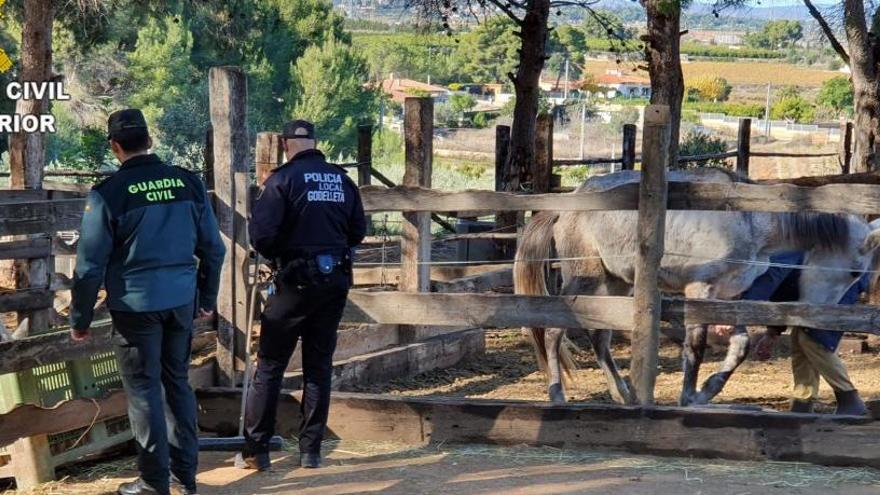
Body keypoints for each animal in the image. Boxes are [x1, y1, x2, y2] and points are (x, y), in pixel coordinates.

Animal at [516, 170, 880, 406]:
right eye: (853, 272)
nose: (817, 322)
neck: (746, 221)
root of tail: (568, 202)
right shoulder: (699, 290)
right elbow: (696, 346)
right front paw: (689, 395)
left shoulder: (730, 296)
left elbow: (741, 345)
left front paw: (709, 389)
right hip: (585, 280)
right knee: (554, 330)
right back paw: (557, 394)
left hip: (615, 283)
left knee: (599, 336)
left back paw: (623, 393)